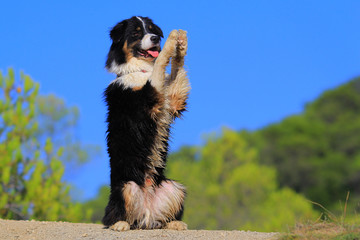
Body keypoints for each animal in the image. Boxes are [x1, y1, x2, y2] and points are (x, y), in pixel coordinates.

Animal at [101, 16, 190, 231]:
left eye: (152, 30)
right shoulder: (148, 99)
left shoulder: (173, 101)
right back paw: (120, 224)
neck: (141, 69)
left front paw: (181, 43)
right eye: (136, 32)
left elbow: (177, 70)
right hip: (126, 187)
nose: (156, 38)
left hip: (174, 187)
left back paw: (175, 224)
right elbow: (160, 63)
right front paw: (171, 42)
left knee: (162, 219)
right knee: (112, 217)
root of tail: (147, 214)